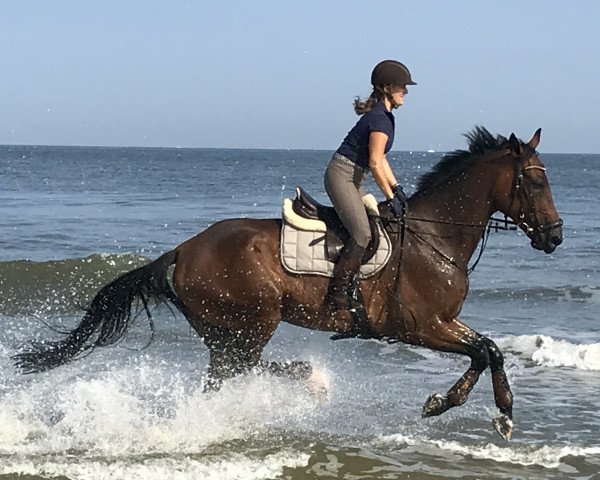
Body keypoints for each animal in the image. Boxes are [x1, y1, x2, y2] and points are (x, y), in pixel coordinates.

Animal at [14, 126, 564, 438]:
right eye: (537, 181)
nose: (556, 237)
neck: (434, 235)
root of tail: (183, 250)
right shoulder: (421, 326)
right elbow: (486, 350)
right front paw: (460, 406)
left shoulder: (443, 323)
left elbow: (489, 349)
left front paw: (495, 412)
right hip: (252, 321)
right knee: (238, 371)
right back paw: (309, 378)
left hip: (225, 331)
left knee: (231, 374)